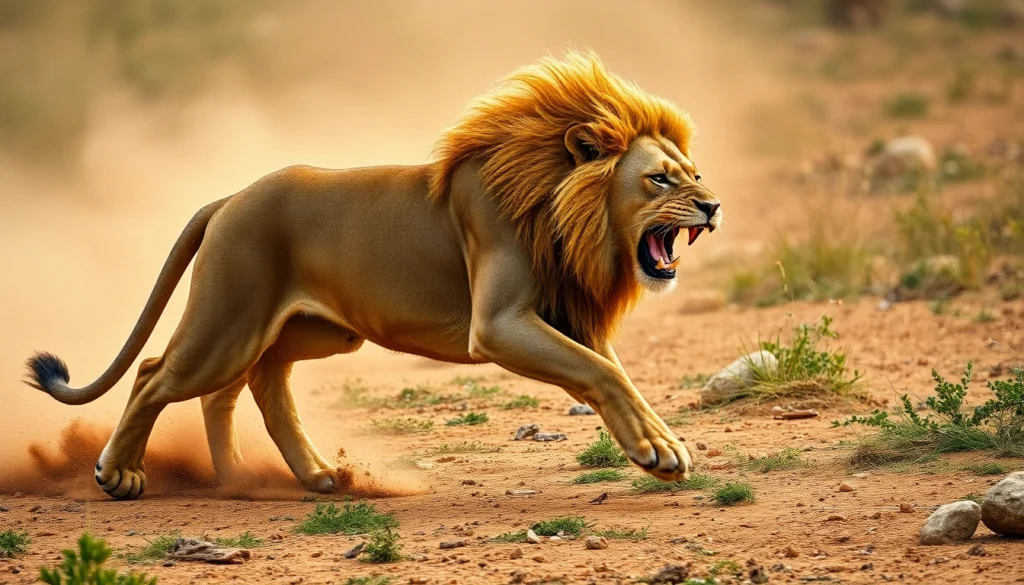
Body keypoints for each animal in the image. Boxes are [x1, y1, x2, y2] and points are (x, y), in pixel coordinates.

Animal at [25, 51, 722, 499]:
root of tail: (229, 199)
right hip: (229, 321)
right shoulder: (498, 324)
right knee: (155, 376)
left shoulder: (570, 318)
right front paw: (658, 452)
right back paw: (120, 475)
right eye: (659, 179)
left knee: (250, 387)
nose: (713, 206)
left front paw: (665, 450)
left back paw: (269, 478)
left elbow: (617, 376)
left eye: (694, 173)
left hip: (306, 331)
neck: (559, 211)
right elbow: (602, 374)